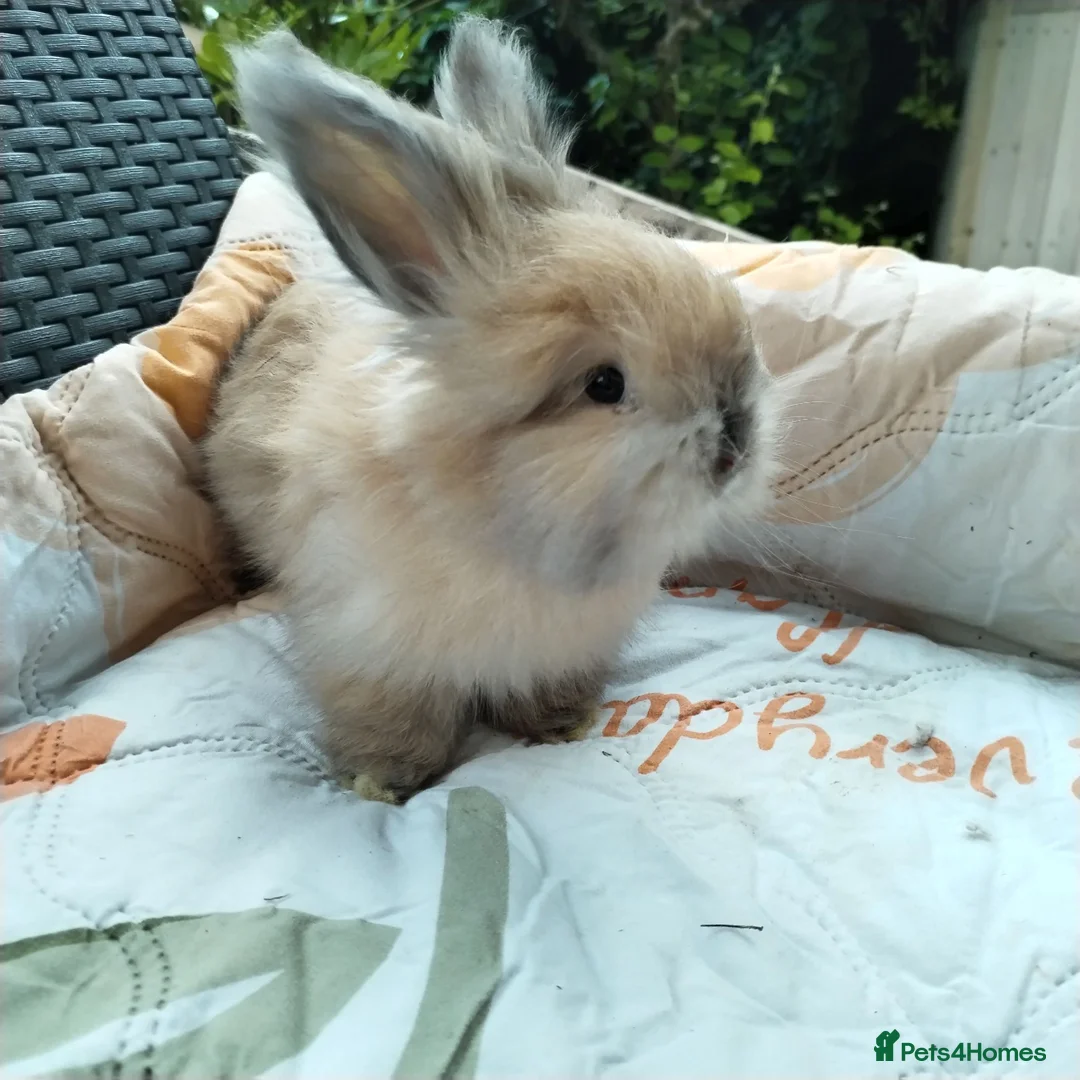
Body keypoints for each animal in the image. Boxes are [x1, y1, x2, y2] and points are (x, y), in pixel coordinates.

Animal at [201, 15, 782, 801]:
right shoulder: (370, 650)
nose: (736, 446)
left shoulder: (562, 649)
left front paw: (561, 726)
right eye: (604, 384)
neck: (503, 533)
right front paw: (381, 784)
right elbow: (391, 722)